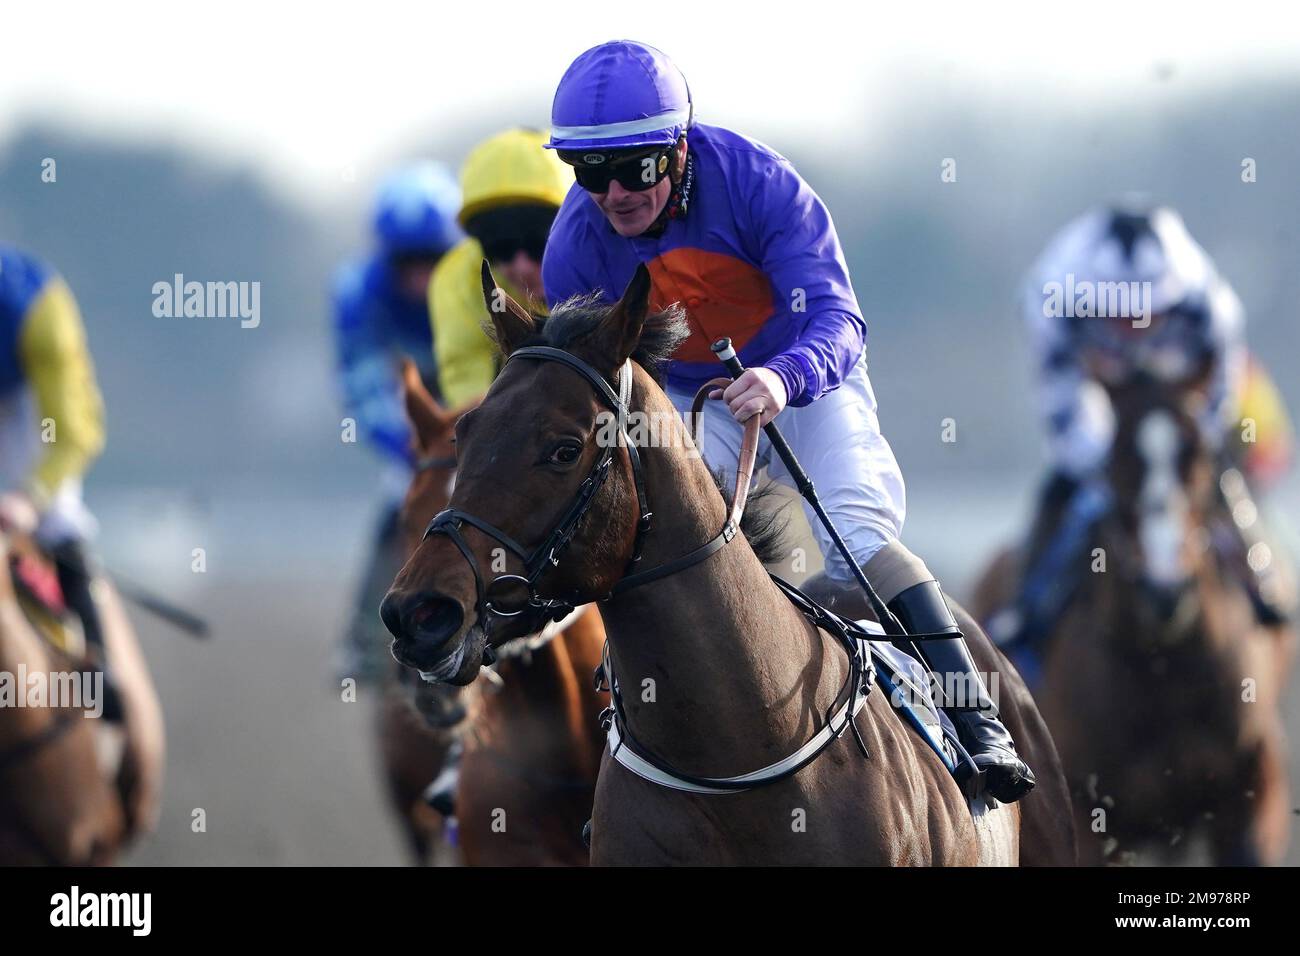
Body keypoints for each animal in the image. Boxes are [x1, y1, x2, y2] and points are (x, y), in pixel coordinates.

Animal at [972, 374, 1284, 868]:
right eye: (1116, 456)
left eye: (1197, 453)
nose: (1164, 589)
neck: (1160, 663)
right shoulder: (1088, 806)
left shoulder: (1254, 784)